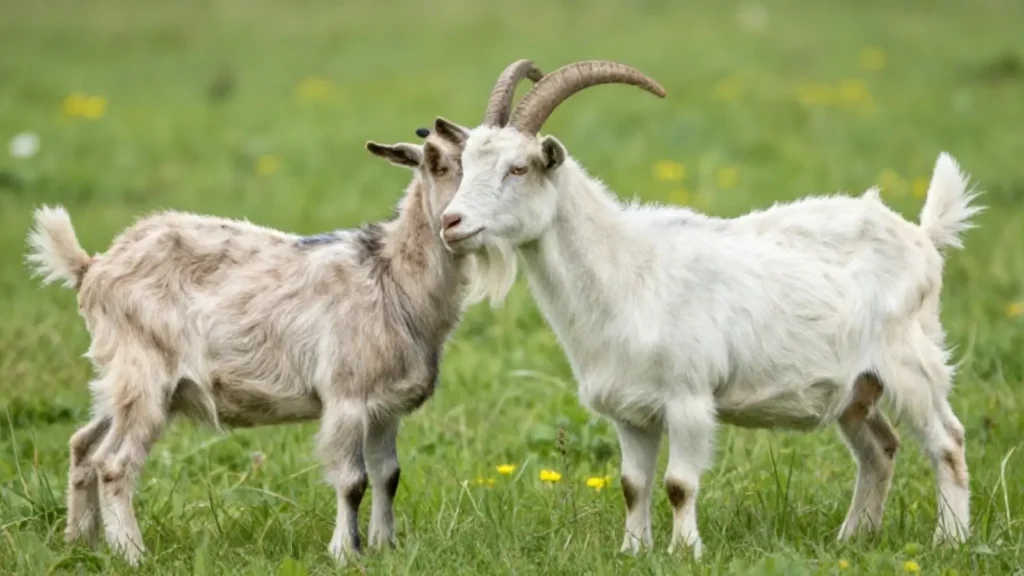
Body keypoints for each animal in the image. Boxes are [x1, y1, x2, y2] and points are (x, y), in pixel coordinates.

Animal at [24, 121, 490, 564]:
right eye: (436, 162)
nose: (458, 221)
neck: (390, 275)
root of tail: (92, 267)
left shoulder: (385, 407)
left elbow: (387, 475)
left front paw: (385, 547)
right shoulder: (346, 397)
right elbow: (352, 480)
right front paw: (346, 552)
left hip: (118, 380)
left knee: (83, 445)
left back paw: (81, 543)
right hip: (145, 375)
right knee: (114, 464)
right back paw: (133, 554)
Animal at [436, 59, 982, 559]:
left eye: (518, 168)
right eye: (466, 165)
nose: (450, 222)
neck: (628, 271)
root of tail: (921, 237)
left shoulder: (689, 396)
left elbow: (679, 484)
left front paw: (684, 551)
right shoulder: (630, 410)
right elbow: (632, 484)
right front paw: (633, 551)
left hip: (909, 362)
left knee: (947, 442)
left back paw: (950, 540)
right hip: (856, 387)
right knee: (880, 449)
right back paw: (852, 538)